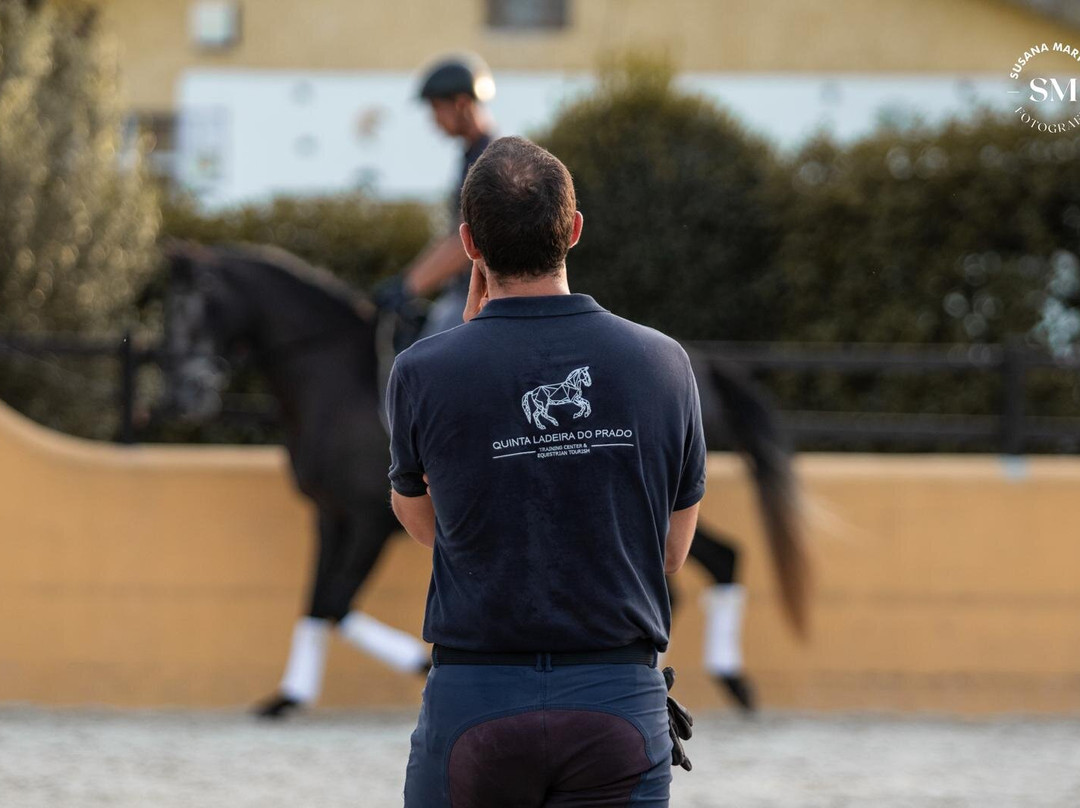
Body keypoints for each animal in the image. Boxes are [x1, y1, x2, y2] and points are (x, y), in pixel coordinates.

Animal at [160, 242, 809, 716]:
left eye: (197, 307)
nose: (183, 395)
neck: (332, 377)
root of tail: (700, 364)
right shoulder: (331, 516)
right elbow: (317, 603)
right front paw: (287, 697)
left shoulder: (371, 520)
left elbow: (337, 603)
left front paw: (416, 664)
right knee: (718, 561)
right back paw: (727, 682)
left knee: (713, 563)